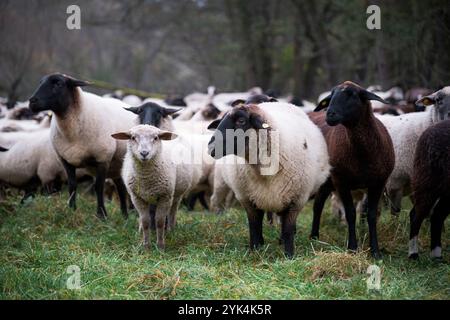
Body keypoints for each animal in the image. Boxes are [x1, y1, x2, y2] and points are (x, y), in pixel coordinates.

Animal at [28, 73, 136, 219]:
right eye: (41, 82)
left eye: (58, 84)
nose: (32, 101)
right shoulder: (66, 160)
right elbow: (72, 186)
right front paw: (71, 209)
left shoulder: (102, 159)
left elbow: (98, 187)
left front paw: (101, 215)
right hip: (116, 166)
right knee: (121, 187)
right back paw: (124, 216)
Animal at [207, 101, 330, 256]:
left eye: (241, 121)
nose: (210, 146)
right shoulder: (248, 199)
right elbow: (254, 226)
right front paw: (255, 250)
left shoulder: (296, 200)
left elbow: (288, 229)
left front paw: (289, 255)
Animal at [310, 81, 394, 258]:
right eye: (331, 95)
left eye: (352, 94)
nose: (330, 114)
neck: (362, 154)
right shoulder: (342, 183)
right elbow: (350, 214)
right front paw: (353, 248)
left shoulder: (378, 183)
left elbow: (371, 215)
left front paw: (375, 251)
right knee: (318, 205)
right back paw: (313, 236)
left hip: (329, 181)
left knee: (319, 202)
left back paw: (314, 236)